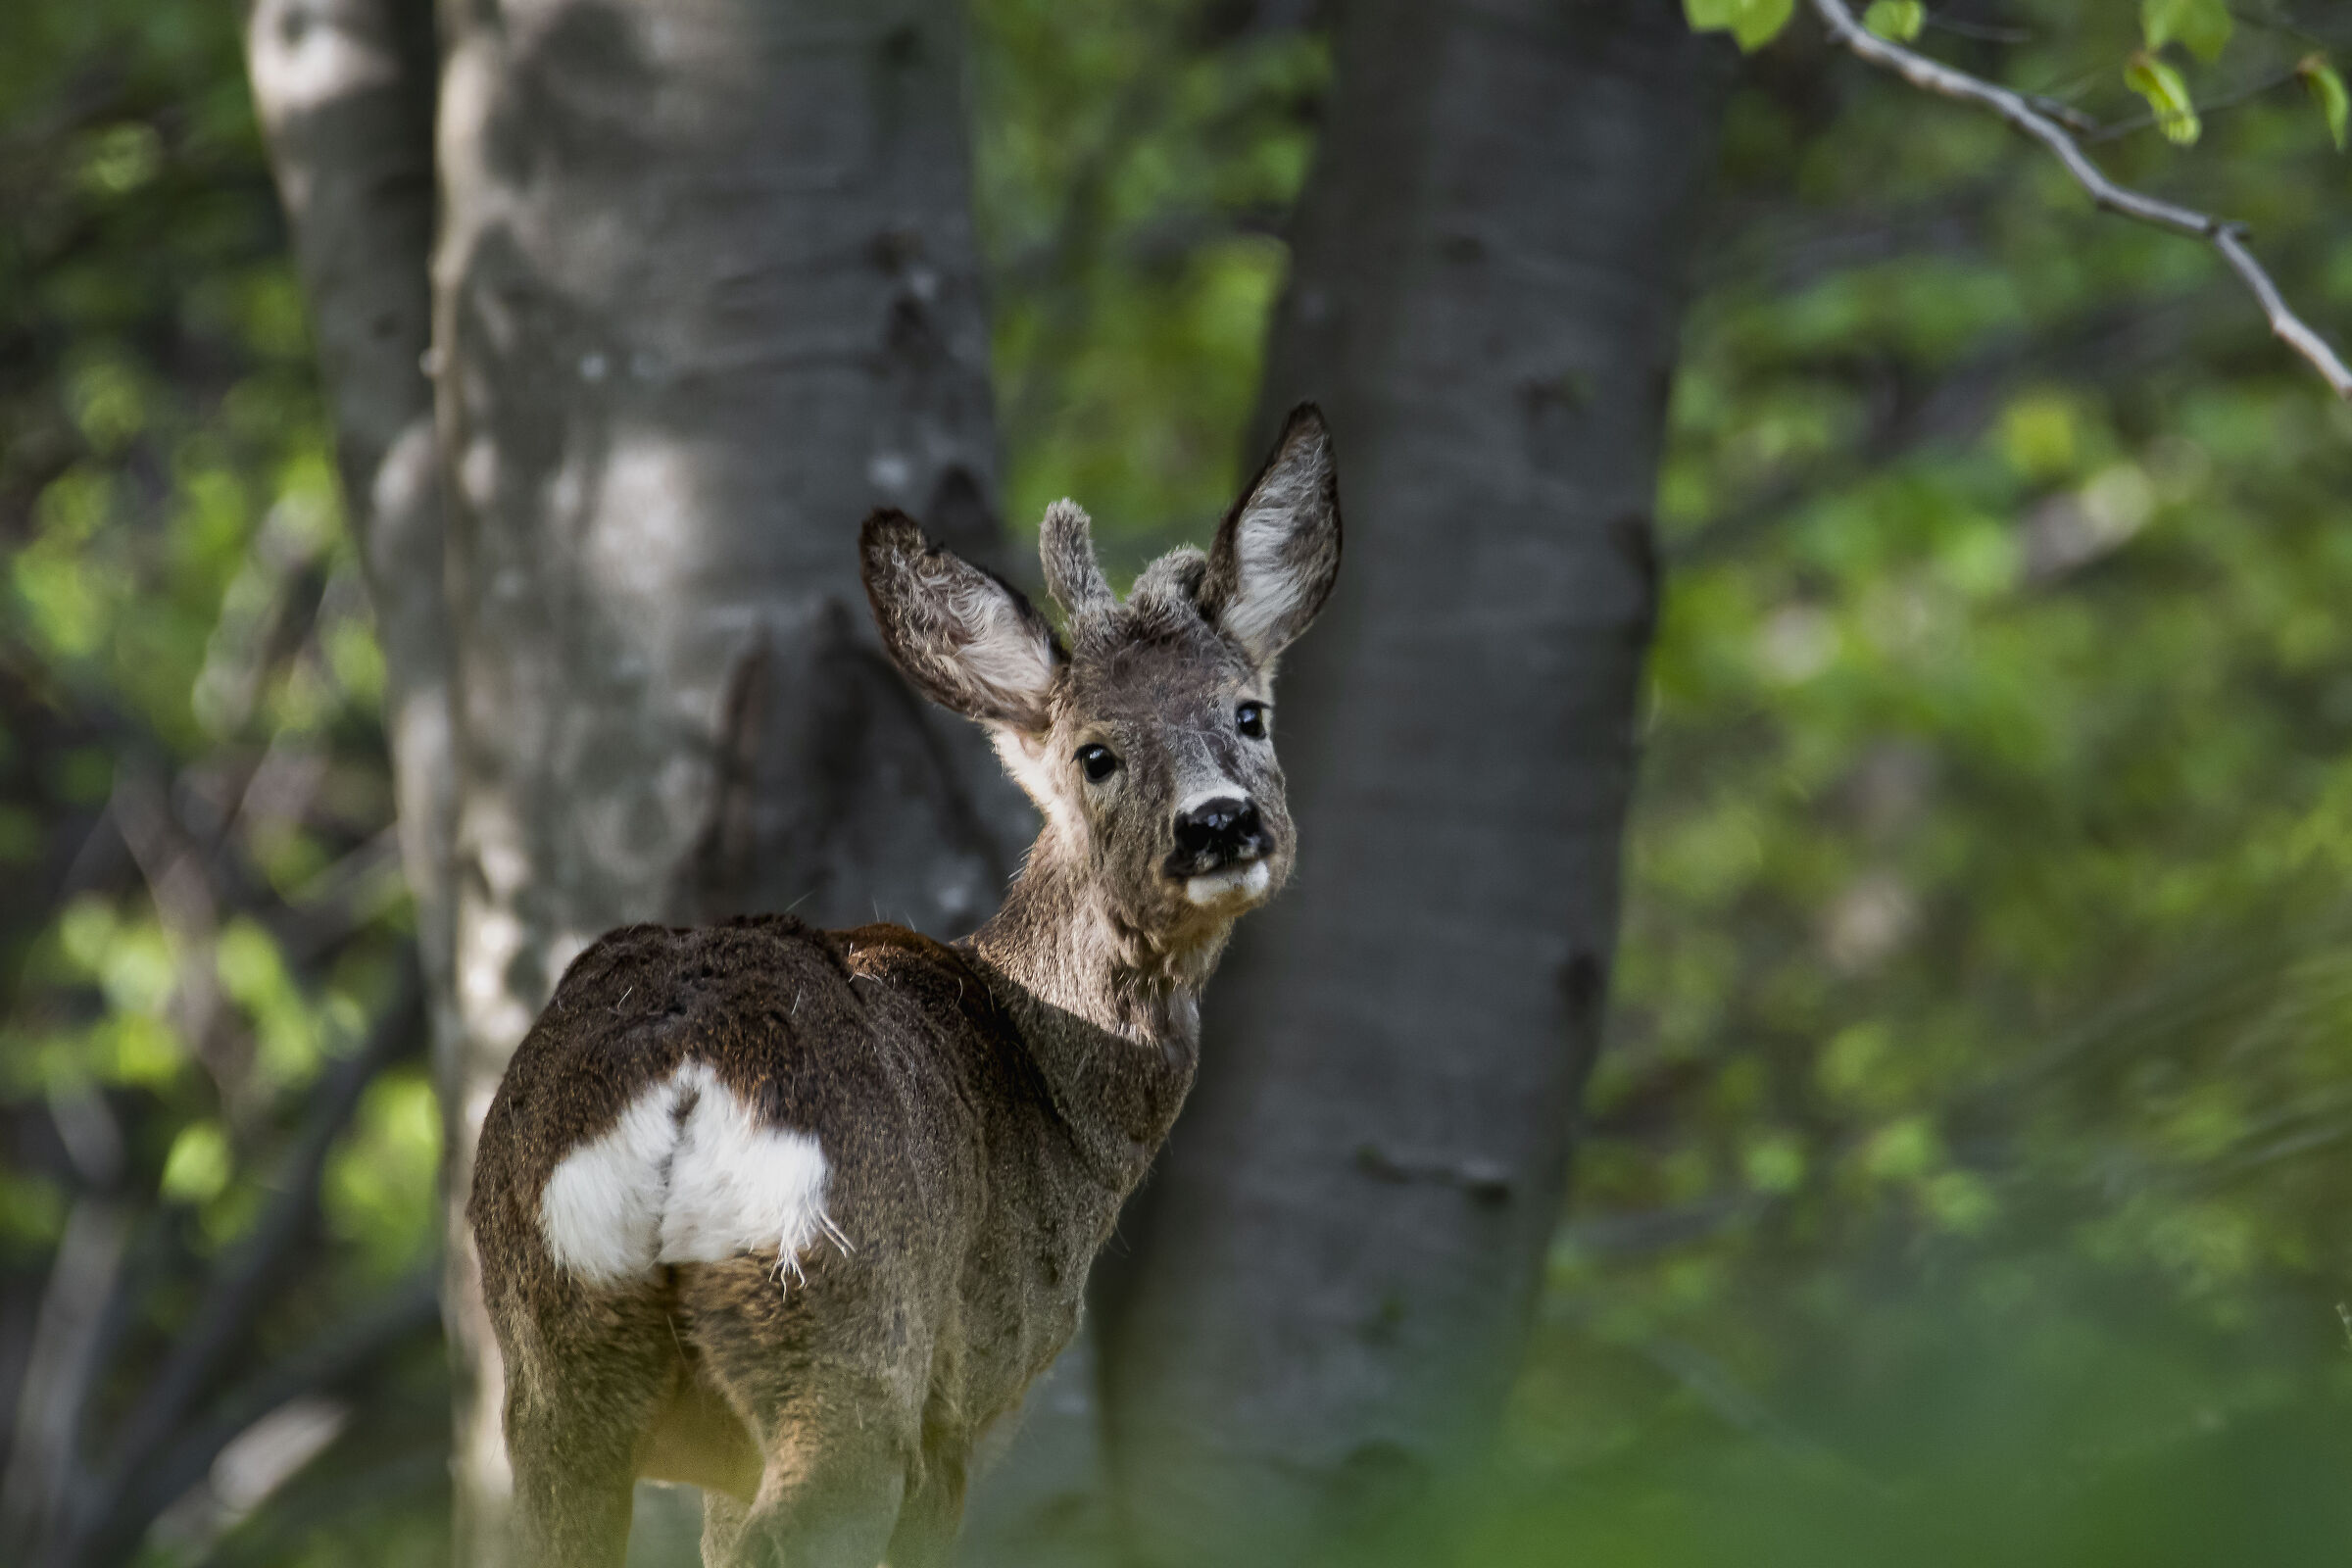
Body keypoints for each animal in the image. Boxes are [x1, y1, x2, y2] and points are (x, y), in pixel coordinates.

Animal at [466, 406, 1341, 1568]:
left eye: (1248, 713)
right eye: (1094, 753)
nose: (1218, 823)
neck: (1053, 1087)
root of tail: (686, 1073)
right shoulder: (964, 1396)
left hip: (551, 1363)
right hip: (850, 1329)